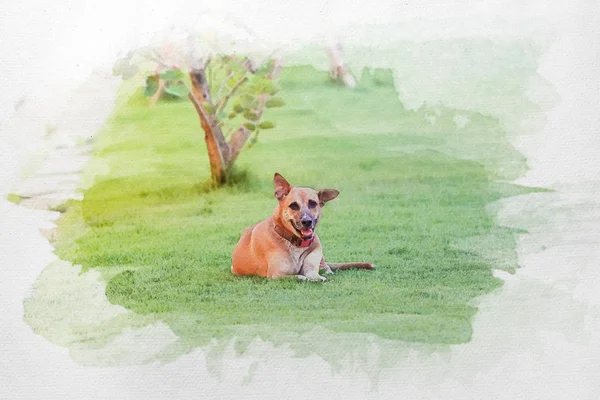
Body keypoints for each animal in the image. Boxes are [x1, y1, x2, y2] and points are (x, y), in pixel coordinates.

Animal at [231, 173, 376, 282]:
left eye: (313, 203)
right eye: (293, 206)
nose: (307, 221)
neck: (295, 243)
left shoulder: (311, 265)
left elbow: (312, 273)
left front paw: (319, 277)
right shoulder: (276, 274)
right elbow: (299, 276)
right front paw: (305, 278)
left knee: (326, 266)